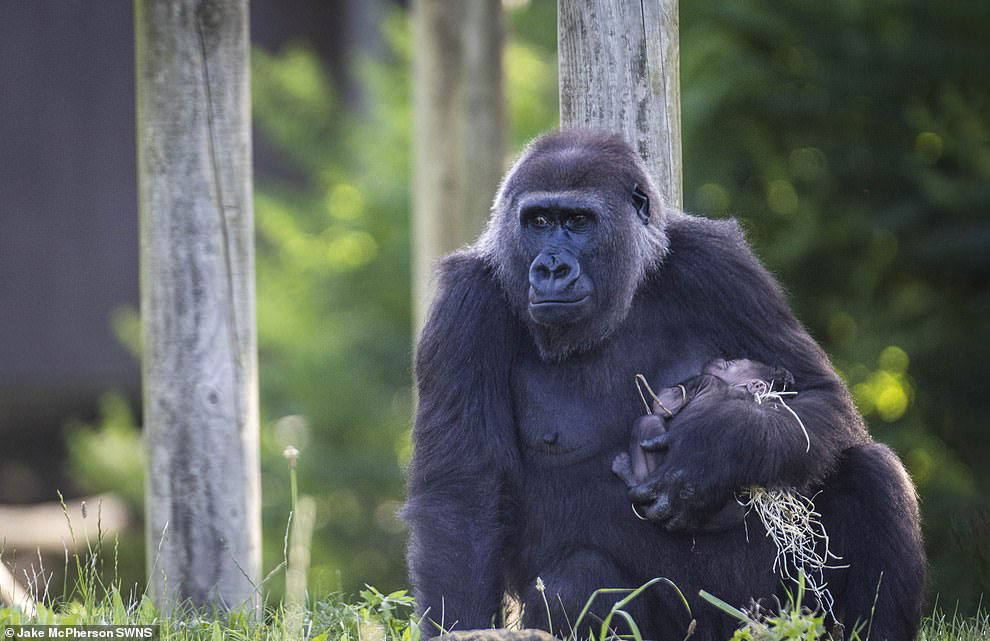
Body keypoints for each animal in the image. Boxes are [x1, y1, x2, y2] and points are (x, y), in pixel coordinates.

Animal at [616, 358, 796, 528]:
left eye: (731, 363)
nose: (720, 360)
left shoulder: (706, 380)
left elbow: (664, 405)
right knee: (735, 514)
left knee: (647, 422)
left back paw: (628, 473)